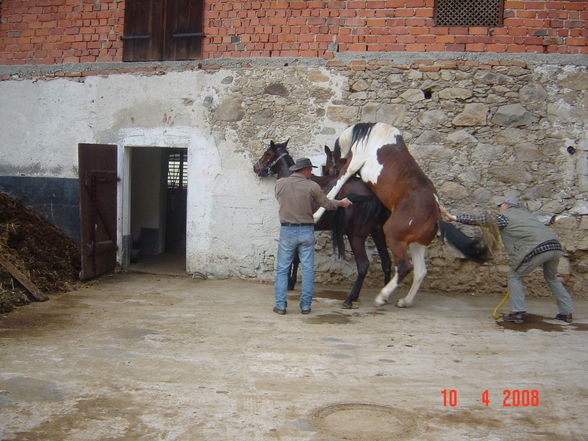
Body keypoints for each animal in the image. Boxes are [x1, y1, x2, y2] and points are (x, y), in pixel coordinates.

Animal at [252, 139, 390, 308]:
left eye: (267, 153)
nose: (256, 167)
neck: (294, 177)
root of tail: (373, 195)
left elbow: (295, 257)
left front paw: (290, 282)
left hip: (356, 236)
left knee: (363, 265)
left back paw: (350, 298)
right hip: (378, 232)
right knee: (387, 263)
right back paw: (383, 295)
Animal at [314, 122, 490, 308]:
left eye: (329, 167)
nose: (326, 178)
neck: (369, 136)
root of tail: (436, 217)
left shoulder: (353, 164)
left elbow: (337, 186)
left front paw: (316, 214)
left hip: (392, 235)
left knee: (404, 266)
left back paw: (382, 296)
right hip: (416, 244)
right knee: (420, 271)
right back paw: (405, 300)